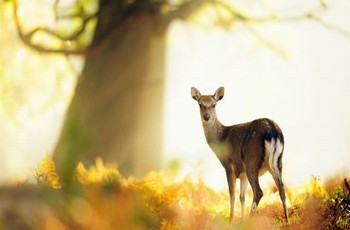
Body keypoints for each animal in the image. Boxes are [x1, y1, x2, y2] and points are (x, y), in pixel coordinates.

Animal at [190, 86, 288, 223]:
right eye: (200, 104)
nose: (206, 116)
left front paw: (231, 220)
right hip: (278, 161)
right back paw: (287, 221)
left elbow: (232, 194)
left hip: (251, 160)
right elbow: (242, 197)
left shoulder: (229, 165)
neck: (221, 140)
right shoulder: (243, 174)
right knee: (282, 189)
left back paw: (250, 221)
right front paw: (241, 219)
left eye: (214, 104)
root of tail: (272, 130)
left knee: (259, 192)